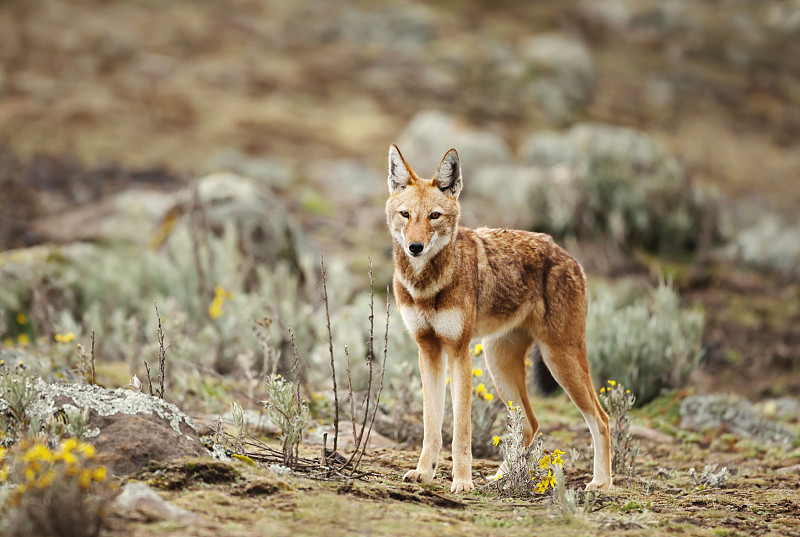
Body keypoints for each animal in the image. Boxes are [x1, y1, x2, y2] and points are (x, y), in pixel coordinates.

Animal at [388, 144, 612, 492]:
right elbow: (431, 427)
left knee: (601, 420)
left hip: (560, 360)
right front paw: (424, 473)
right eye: (405, 214)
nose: (415, 247)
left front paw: (462, 482)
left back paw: (601, 483)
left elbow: (461, 432)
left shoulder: (459, 352)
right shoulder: (428, 351)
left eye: (434, 216)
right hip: (500, 365)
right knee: (530, 424)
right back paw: (501, 478)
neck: (426, 284)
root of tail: (569, 256)